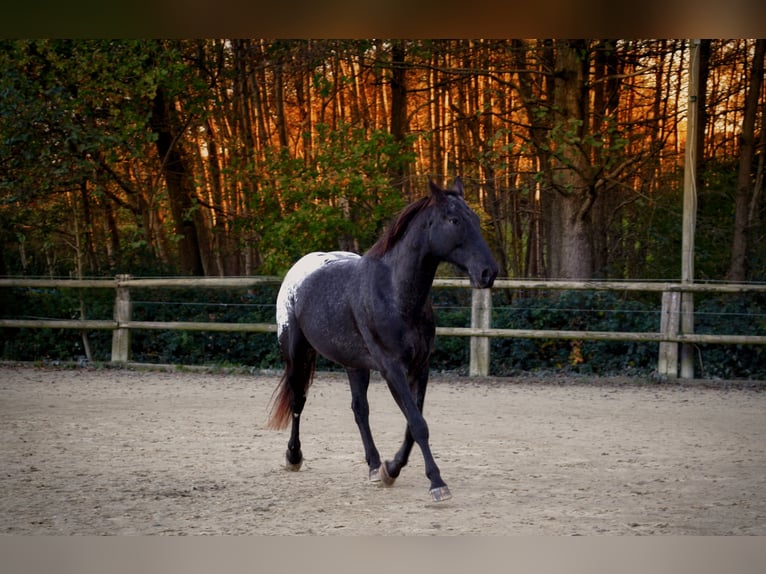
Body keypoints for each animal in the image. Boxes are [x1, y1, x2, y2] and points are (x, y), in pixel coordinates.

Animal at [268, 178, 500, 502]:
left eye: (476, 220)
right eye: (454, 220)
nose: (488, 272)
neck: (394, 294)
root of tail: (299, 268)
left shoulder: (420, 368)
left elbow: (412, 425)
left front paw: (391, 469)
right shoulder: (392, 369)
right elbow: (418, 424)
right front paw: (437, 483)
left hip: (354, 365)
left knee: (359, 410)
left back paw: (375, 465)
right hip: (296, 353)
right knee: (298, 400)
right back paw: (294, 457)